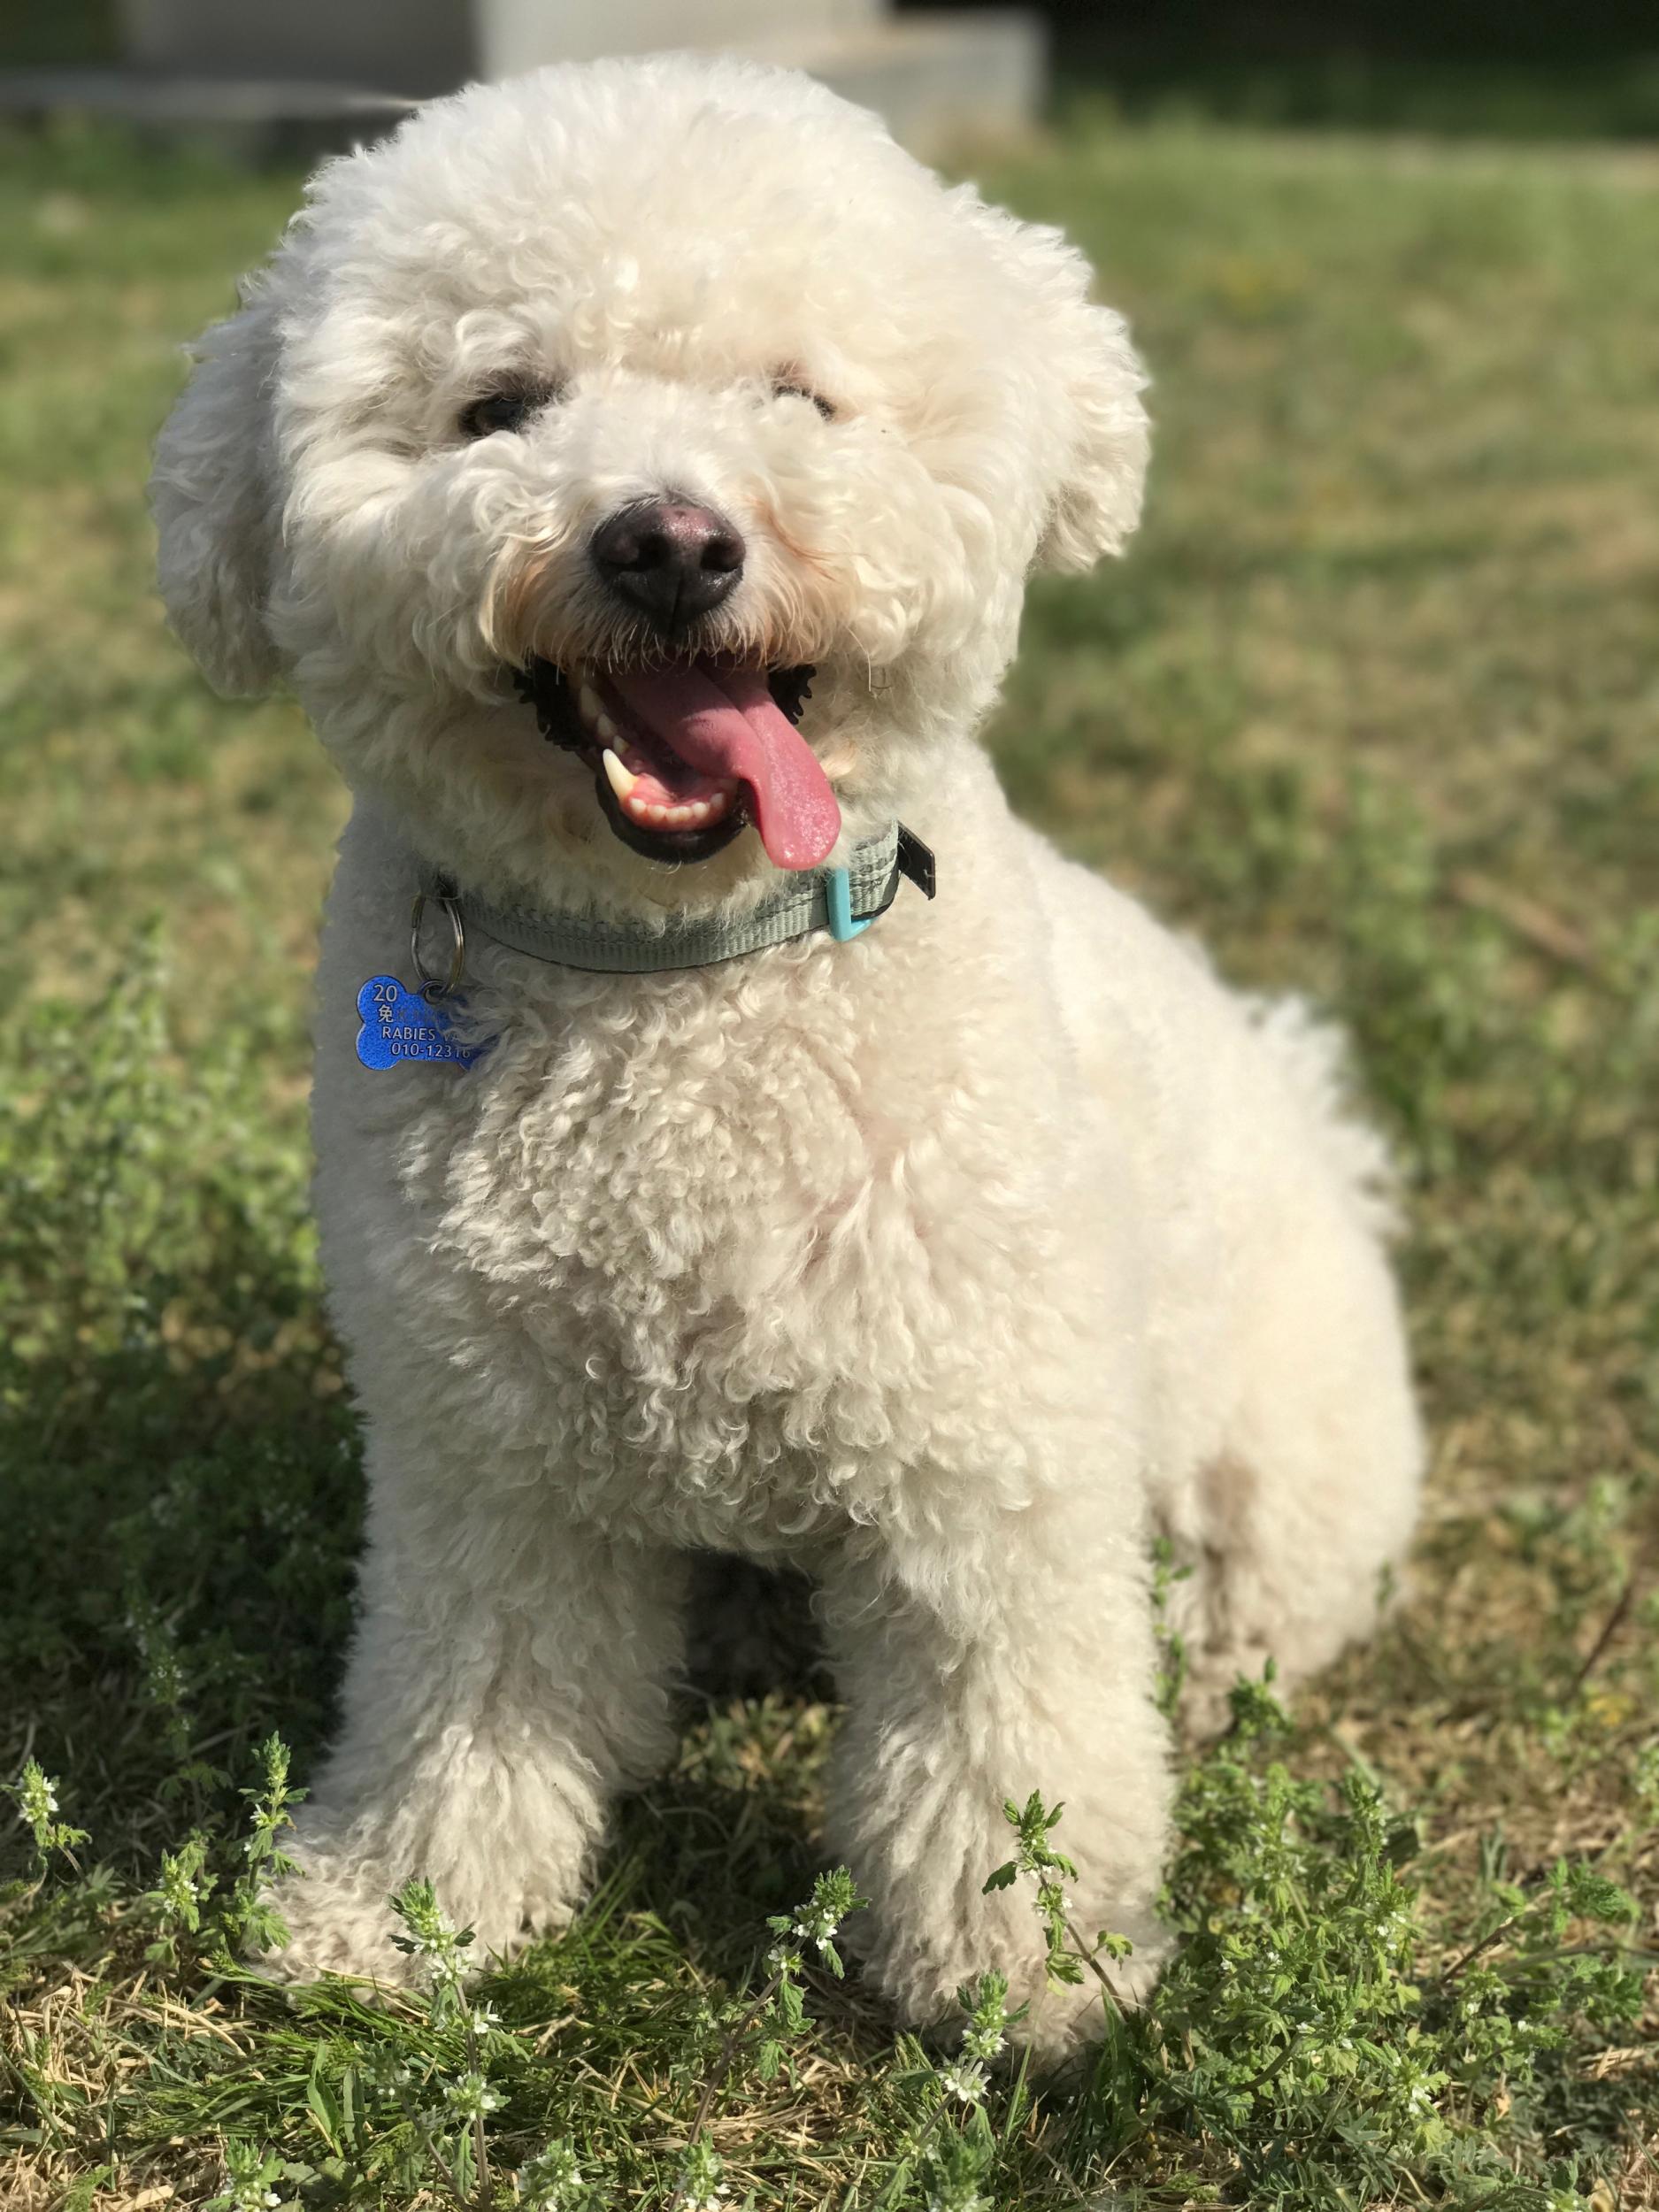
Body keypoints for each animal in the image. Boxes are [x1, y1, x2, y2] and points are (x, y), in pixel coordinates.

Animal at [156, 56, 1425, 2053]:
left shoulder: (987, 1466)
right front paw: (403, 1912)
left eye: (799, 397)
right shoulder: (486, 1458)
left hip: (1271, 1455)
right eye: (497, 406)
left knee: (1250, 1592)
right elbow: (467, 1698)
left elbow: (1002, 1737)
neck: (681, 991)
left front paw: (1026, 1967)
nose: (667, 540)